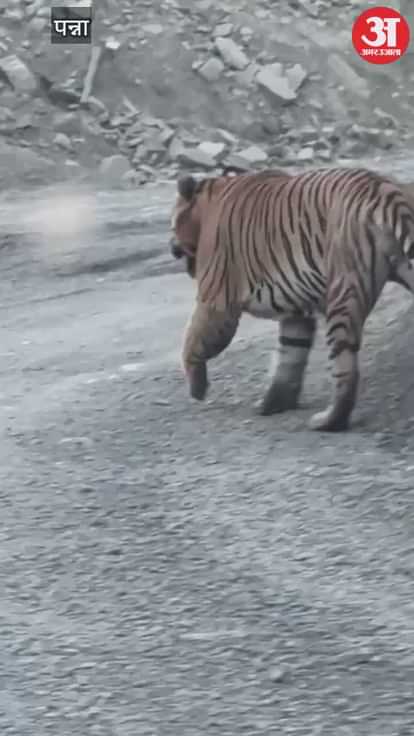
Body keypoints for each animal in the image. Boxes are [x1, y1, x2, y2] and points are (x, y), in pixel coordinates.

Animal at [169, 166, 414, 432]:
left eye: (172, 225)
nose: (170, 246)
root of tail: (384, 191)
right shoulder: (296, 308)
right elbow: (291, 355)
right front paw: (273, 403)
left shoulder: (216, 300)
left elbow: (193, 338)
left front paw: (196, 386)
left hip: (342, 294)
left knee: (345, 367)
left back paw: (328, 421)